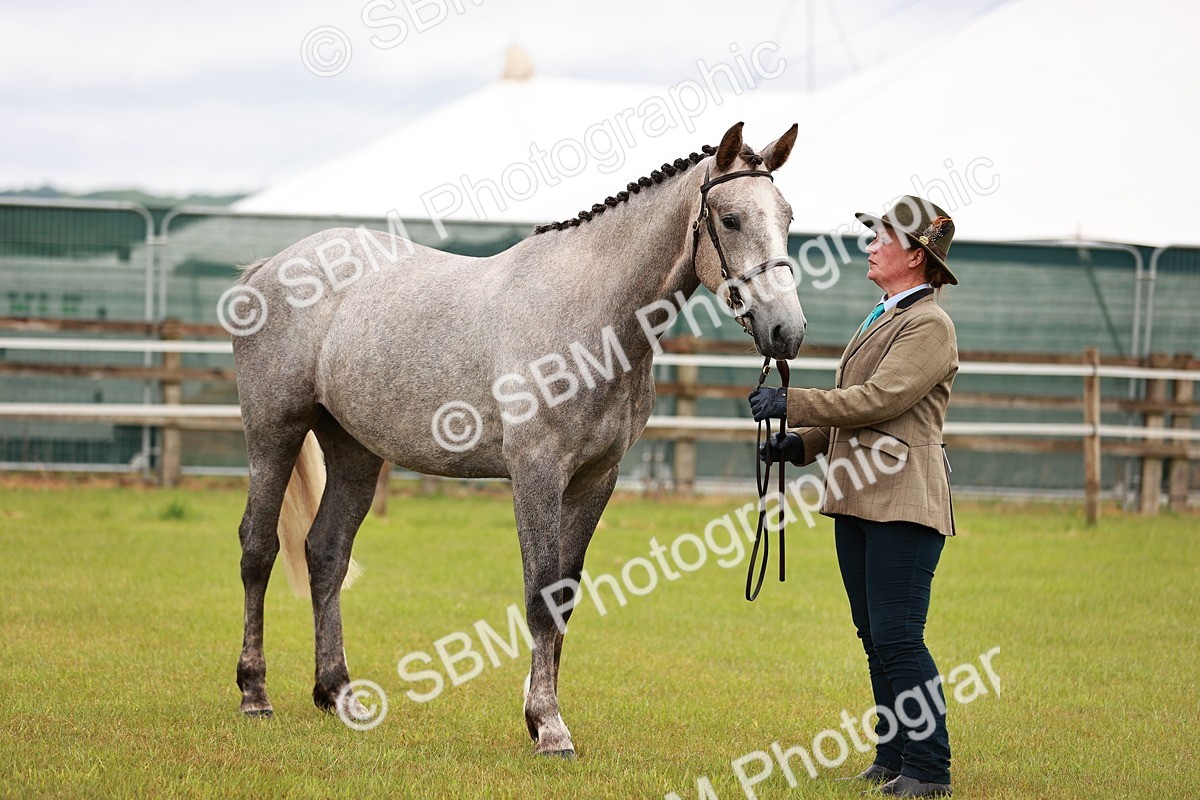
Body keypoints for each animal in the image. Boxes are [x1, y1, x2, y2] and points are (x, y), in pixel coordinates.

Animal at [230, 121, 806, 757]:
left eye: (787, 215)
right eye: (730, 218)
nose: (787, 330)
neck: (592, 318)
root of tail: (270, 266)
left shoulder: (595, 480)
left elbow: (565, 596)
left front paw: (539, 713)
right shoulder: (536, 473)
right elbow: (540, 594)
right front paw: (549, 726)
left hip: (355, 452)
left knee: (326, 554)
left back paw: (339, 694)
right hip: (273, 432)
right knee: (258, 549)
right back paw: (254, 693)